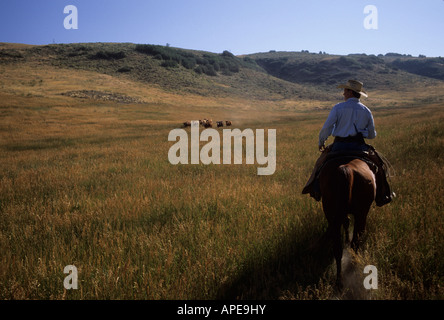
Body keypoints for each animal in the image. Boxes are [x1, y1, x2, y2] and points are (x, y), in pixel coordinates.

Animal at [318, 156, 376, 288]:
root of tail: (346, 169)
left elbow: (346, 222)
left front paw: (346, 239)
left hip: (330, 210)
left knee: (337, 247)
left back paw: (339, 280)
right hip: (361, 213)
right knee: (356, 241)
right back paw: (353, 266)